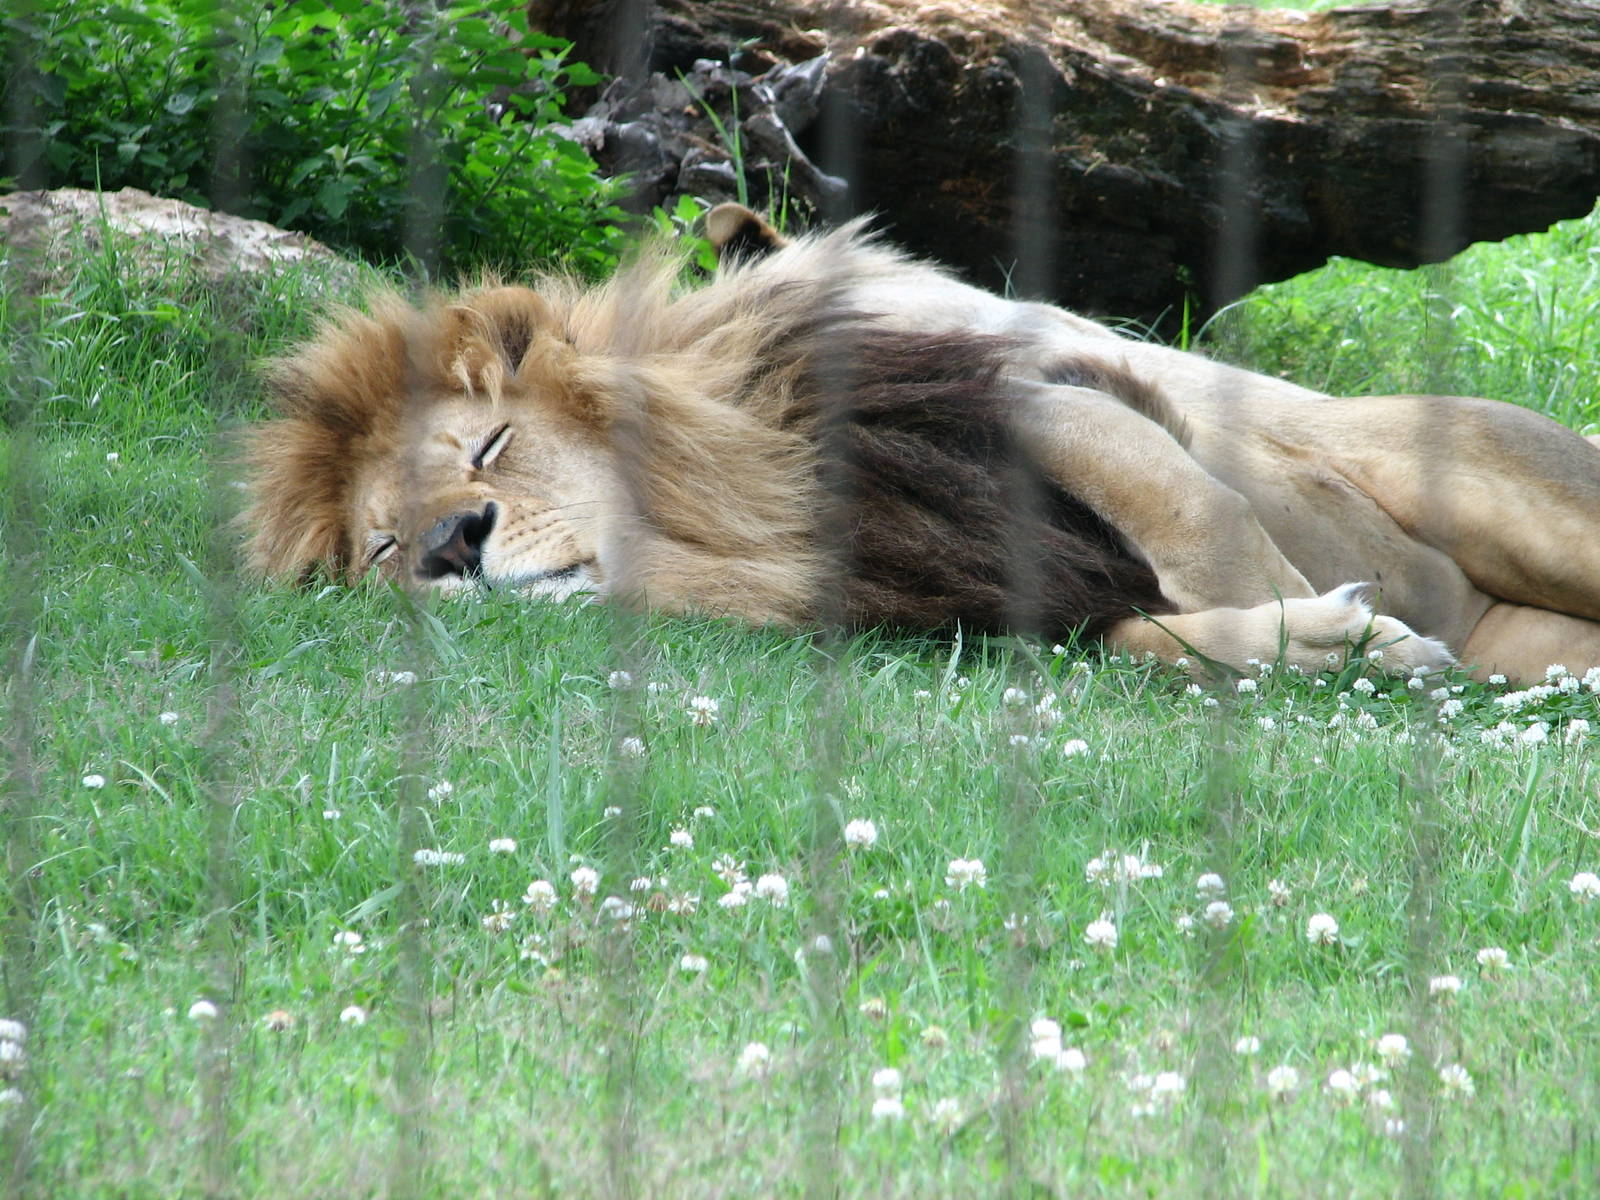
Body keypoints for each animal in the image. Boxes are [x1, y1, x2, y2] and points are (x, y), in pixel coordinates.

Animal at [240, 204, 1600, 686]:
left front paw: (1343, 629)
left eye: (488, 448)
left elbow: (1198, 512)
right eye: (379, 550)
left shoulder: (1021, 382)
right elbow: (1146, 630)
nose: (452, 546)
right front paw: (1323, 642)